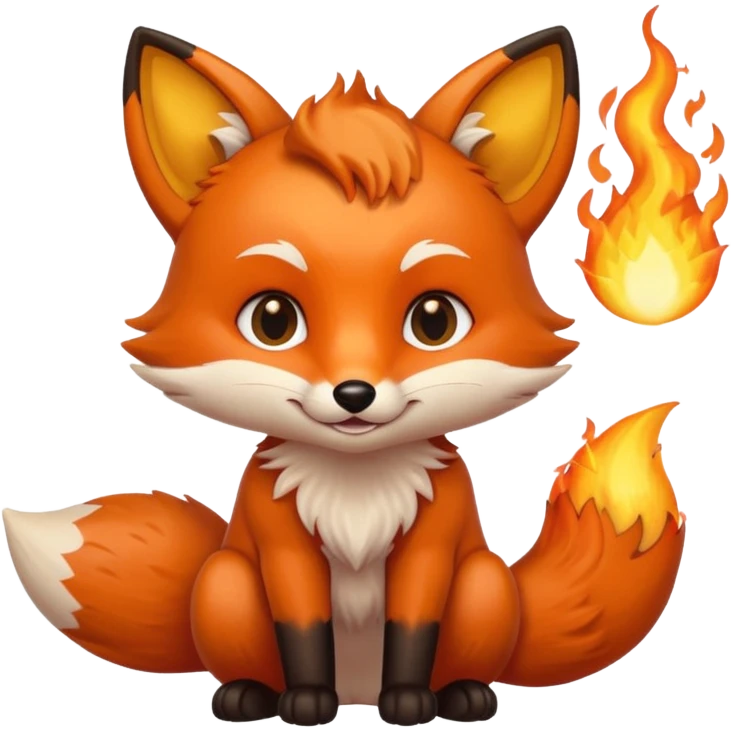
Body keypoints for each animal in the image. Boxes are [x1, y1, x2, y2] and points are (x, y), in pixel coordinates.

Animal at [1, 25, 686, 728]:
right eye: (273, 320)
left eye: (434, 320)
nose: (353, 393)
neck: (356, 490)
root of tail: (359, 689)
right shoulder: (282, 545)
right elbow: (303, 629)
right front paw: (306, 702)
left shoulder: (432, 545)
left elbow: (413, 628)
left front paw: (408, 702)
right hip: (224, 580)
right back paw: (249, 694)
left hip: (484, 583)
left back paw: (462, 694)